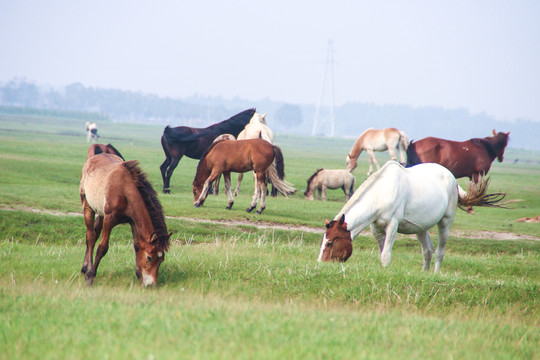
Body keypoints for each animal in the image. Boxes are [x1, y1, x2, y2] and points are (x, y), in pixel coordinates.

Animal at [78, 153, 169, 286]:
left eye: (161, 259)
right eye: (149, 257)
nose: (150, 284)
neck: (125, 190)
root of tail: (92, 158)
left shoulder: (133, 222)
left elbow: (136, 245)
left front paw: (139, 275)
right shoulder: (109, 219)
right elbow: (103, 247)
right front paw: (91, 276)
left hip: (100, 213)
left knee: (94, 234)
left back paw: (84, 268)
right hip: (88, 206)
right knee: (90, 236)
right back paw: (87, 270)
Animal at [316, 162, 506, 272]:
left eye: (330, 243)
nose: (321, 264)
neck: (382, 192)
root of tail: (452, 179)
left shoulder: (392, 225)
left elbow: (386, 255)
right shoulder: (376, 228)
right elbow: (382, 253)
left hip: (445, 223)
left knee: (439, 252)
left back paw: (435, 275)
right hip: (420, 228)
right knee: (427, 250)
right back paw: (424, 274)